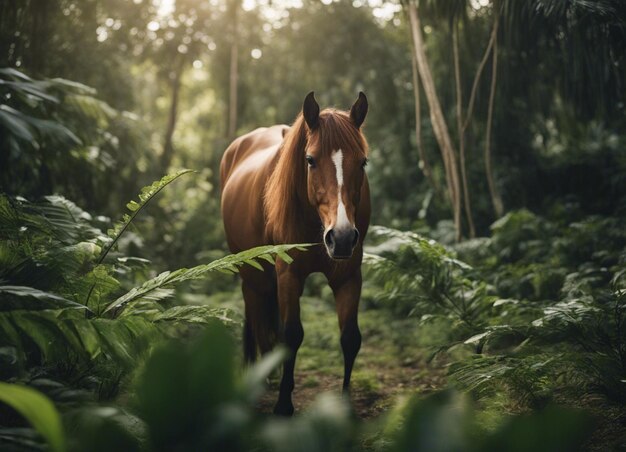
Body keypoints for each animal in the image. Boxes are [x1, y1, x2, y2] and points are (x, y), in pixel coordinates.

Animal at [219, 92, 368, 416]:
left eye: (363, 162)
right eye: (310, 160)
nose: (341, 237)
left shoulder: (349, 275)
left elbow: (350, 338)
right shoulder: (289, 274)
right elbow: (291, 335)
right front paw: (284, 405)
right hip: (251, 272)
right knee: (253, 312)